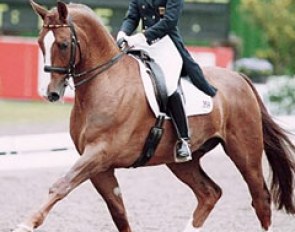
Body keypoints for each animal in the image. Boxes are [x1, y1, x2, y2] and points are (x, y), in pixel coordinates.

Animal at [13, 0, 295, 231]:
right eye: (40, 43)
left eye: (63, 44)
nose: (51, 93)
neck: (105, 82)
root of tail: (240, 77)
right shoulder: (99, 165)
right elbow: (119, 212)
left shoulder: (100, 153)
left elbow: (61, 185)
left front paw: (25, 224)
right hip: (182, 160)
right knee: (209, 193)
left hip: (244, 151)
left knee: (260, 198)